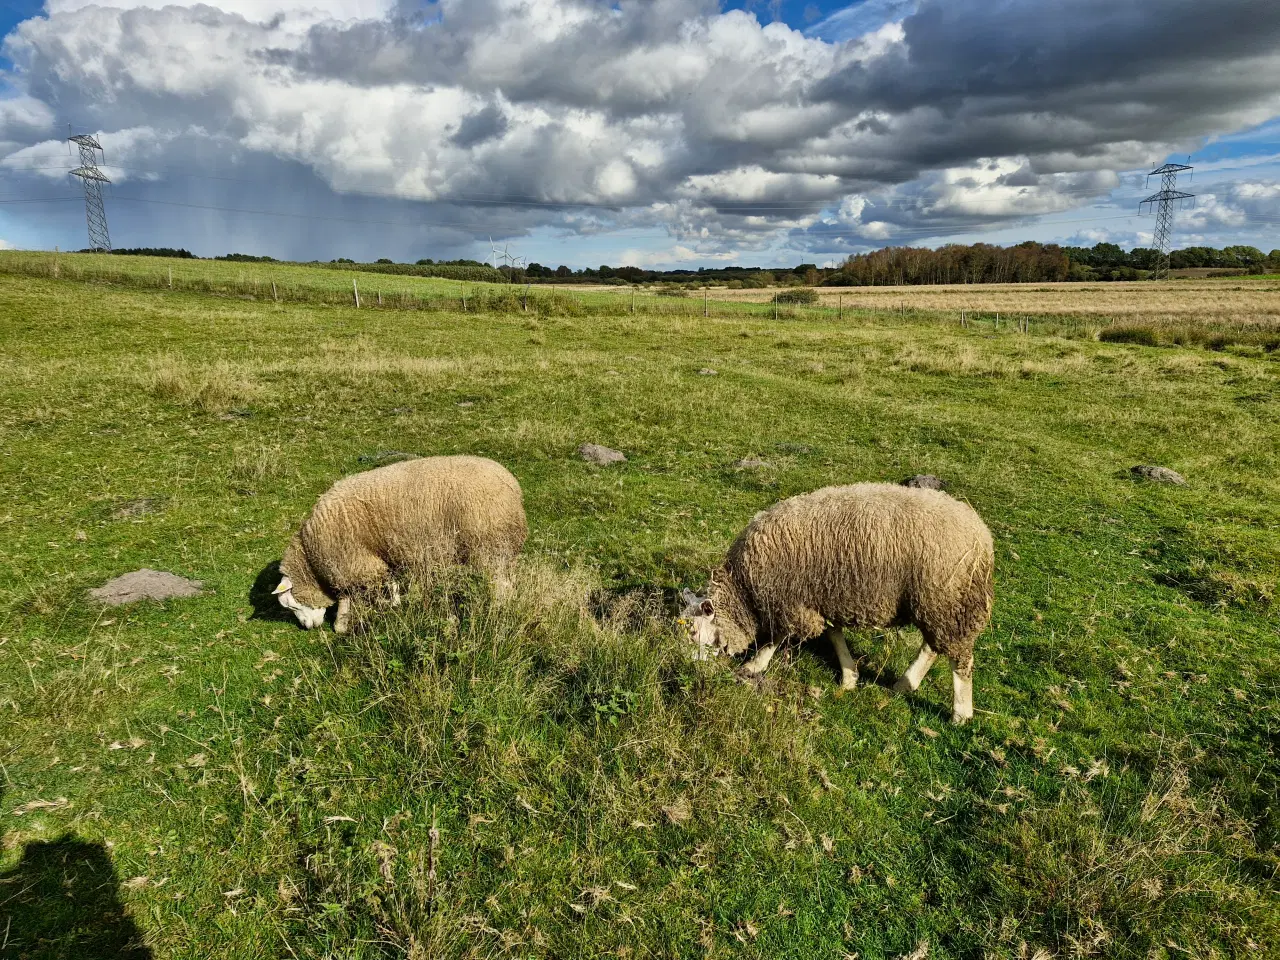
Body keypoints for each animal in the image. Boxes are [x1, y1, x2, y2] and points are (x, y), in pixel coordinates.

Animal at [272, 455, 527, 634]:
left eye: (292, 606)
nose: (307, 628)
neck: (311, 560)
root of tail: (513, 487)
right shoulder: (374, 561)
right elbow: (388, 582)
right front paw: (394, 603)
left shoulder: (352, 565)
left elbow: (348, 601)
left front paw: (342, 624)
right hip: (503, 550)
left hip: (489, 547)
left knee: (501, 588)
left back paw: (497, 611)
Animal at [675, 483, 993, 727]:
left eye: (694, 632)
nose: (685, 667)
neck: (745, 590)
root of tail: (982, 535)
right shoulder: (822, 600)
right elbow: (834, 635)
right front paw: (850, 676)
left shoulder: (790, 601)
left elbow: (777, 637)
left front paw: (754, 665)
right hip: (936, 603)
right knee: (933, 646)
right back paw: (905, 684)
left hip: (948, 599)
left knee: (960, 658)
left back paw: (960, 713)